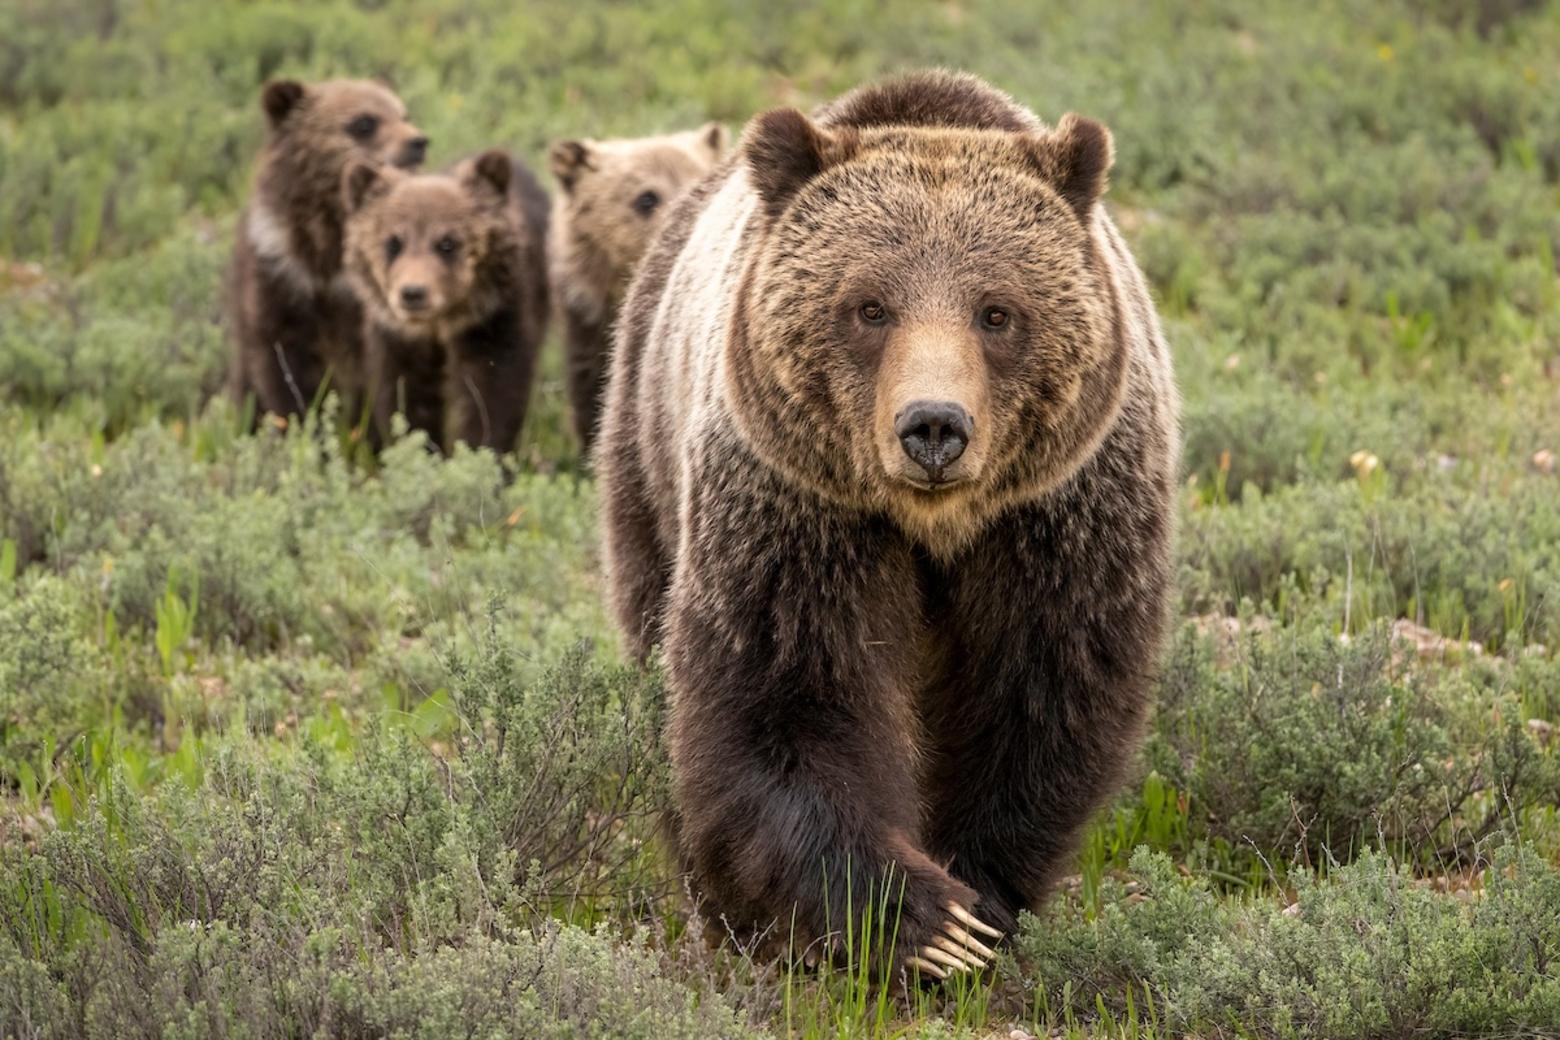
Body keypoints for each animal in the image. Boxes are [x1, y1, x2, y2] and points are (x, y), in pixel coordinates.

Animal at [226, 76, 427, 427]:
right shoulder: (278, 277)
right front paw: (299, 422)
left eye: (404, 114)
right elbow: (280, 367)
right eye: (364, 122)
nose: (417, 142)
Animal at [344, 151, 552, 455]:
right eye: (393, 243)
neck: (439, 325)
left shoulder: (493, 321)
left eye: (447, 243)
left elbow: (493, 393)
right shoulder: (398, 338)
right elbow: (405, 396)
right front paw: (422, 448)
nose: (413, 292)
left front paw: (482, 449)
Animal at [589, 68, 1173, 979]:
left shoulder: (1059, 519)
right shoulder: (799, 513)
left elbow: (1040, 697)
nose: (933, 425)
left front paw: (981, 904)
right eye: (869, 307)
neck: (934, 525)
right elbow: (786, 699)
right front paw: (922, 923)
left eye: (996, 312)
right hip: (645, 448)